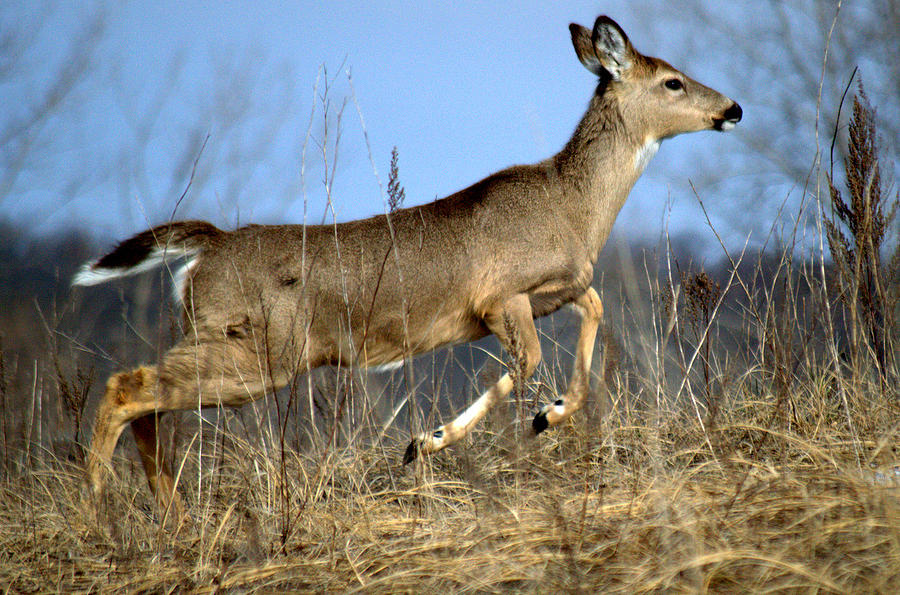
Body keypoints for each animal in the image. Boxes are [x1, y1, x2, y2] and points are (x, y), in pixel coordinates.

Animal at [75, 16, 740, 516]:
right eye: (673, 82)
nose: (732, 108)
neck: (572, 205)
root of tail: (205, 251)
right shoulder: (499, 296)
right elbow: (528, 359)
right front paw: (429, 441)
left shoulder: (559, 288)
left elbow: (593, 314)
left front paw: (546, 416)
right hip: (260, 350)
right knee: (126, 387)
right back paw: (101, 507)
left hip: (231, 343)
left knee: (147, 403)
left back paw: (168, 514)